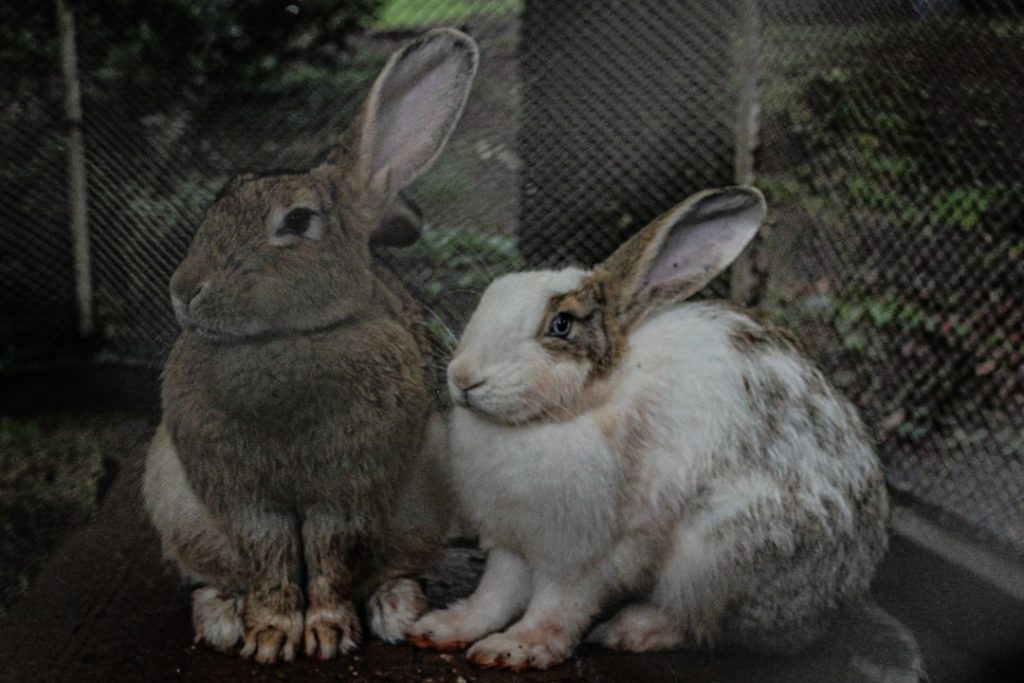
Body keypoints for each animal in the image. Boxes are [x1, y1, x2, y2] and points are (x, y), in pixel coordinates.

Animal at [142, 28, 479, 664]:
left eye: (297, 221)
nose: (183, 291)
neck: (288, 339)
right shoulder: (246, 501)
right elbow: (269, 558)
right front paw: (271, 635)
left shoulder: (345, 494)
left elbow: (328, 555)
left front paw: (324, 633)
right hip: (181, 517)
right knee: (215, 576)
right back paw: (222, 619)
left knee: (391, 567)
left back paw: (396, 609)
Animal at [408, 187, 889, 670]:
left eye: (561, 325)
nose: (464, 377)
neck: (571, 412)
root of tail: (851, 581)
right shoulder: (510, 542)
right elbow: (496, 593)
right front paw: (443, 628)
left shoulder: (588, 555)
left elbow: (557, 606)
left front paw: (517, 648)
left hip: (716, 554)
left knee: (704, 625)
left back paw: (631, 629)